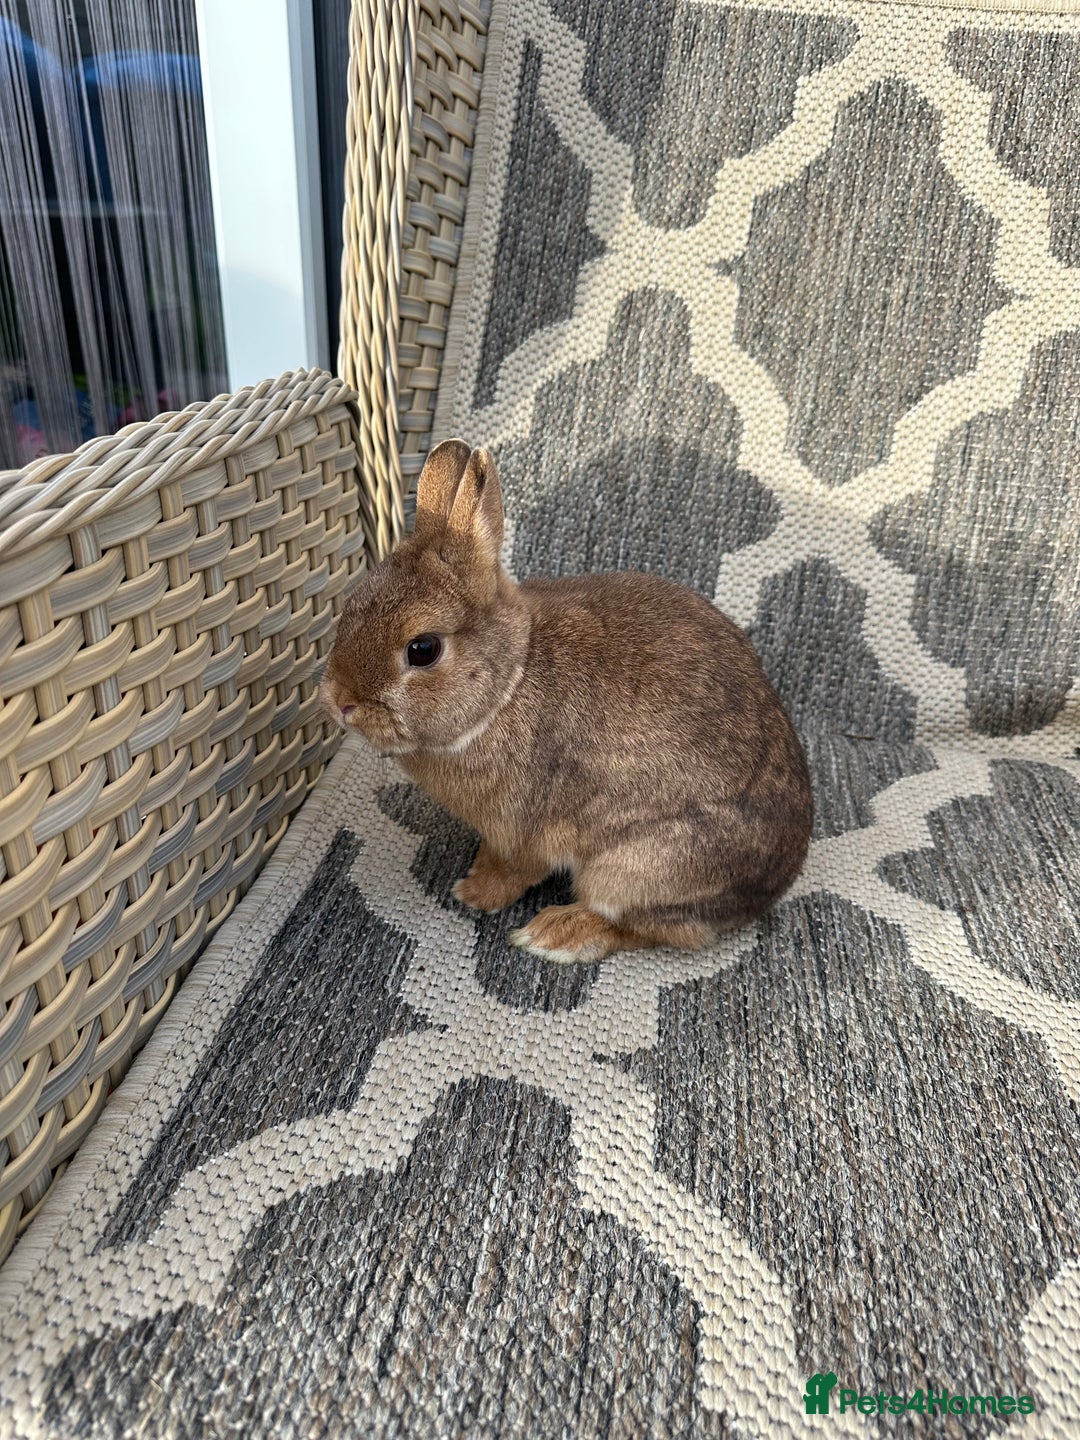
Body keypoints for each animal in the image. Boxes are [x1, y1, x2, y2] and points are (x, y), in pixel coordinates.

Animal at [319, 439, 813, 963]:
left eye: (423, 649)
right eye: (352, 603)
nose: (340, 702)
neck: (509, 682)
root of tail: (769, 892)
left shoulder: (523, 828)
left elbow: (515, 872)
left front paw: (473, 893)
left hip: (635, 866)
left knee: (653, 929)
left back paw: (555, 934)